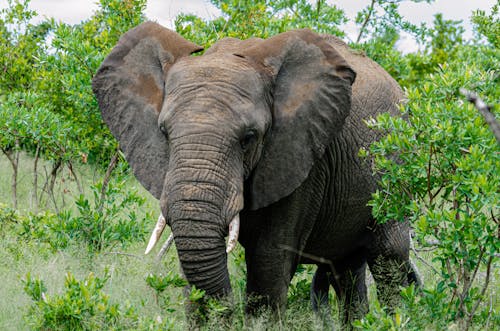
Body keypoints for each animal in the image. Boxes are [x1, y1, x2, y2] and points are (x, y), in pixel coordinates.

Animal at [92, 22, 416, 326]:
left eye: (249, 138)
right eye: (164, 133)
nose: (228, 309)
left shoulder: (297, 156)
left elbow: (268, 265)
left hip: (396, 170)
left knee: (389, 262)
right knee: (346, 270)